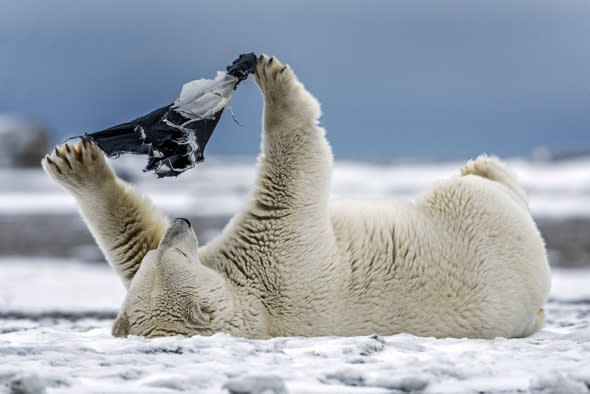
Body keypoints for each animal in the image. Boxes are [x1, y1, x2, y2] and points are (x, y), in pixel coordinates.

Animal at [42, 54, 556, 338]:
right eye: (177, 256)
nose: (182, 224)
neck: (257, 308)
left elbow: (130, 242)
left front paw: (74, 162)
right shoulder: (281, 258)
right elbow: (294, 170)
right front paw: (273, 79)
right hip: (477, 216)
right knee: (480, 190)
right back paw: (483, 165)